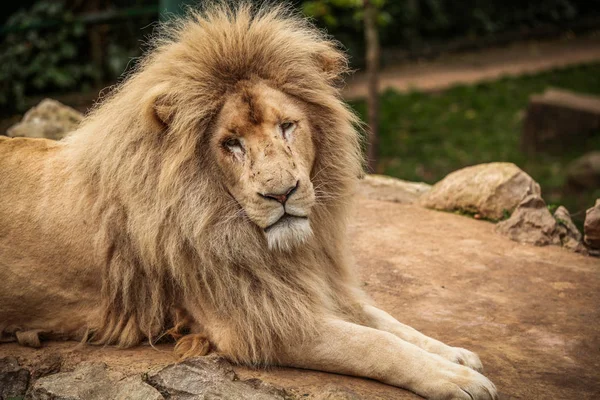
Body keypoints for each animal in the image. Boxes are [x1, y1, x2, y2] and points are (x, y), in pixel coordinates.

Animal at [0, 3, 496, 400]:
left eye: (287, 126)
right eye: (231, 143)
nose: (282, 193)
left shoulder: (306, 283)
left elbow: (386, 321)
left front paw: (454, 354)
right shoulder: (254, 322)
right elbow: (372, 343)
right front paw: (455, 379)